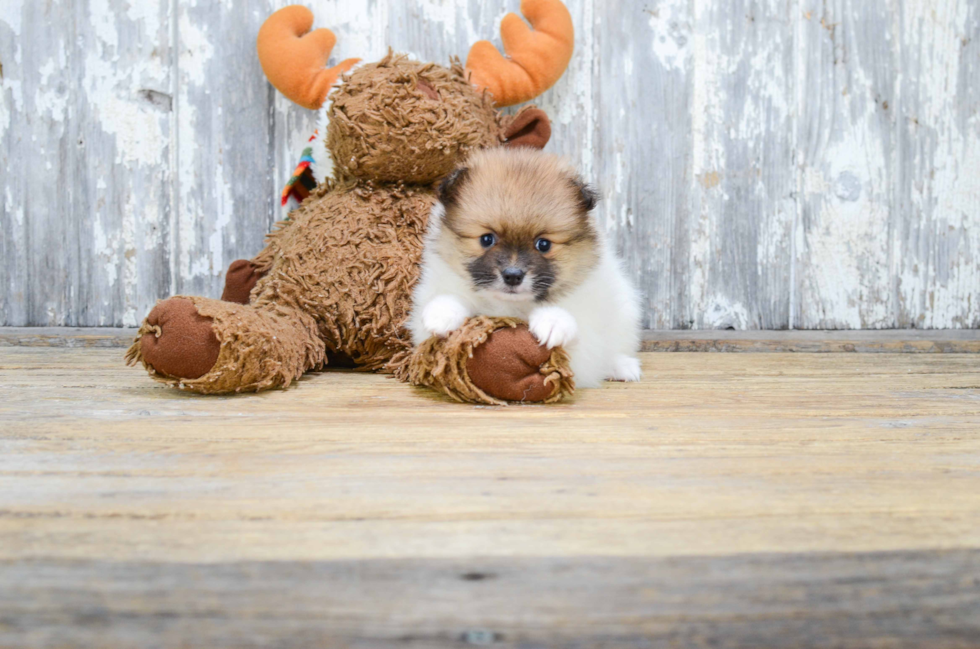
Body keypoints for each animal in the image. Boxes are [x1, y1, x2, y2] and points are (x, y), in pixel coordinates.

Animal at [408, 149, 644, 388]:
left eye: (543, 244)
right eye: (486, 239)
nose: (513, 276)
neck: (510, 306)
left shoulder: (587, 341)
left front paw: (553, 321)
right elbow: (450, 300)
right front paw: (443, 312)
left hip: (625, 314)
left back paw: (621, 366)